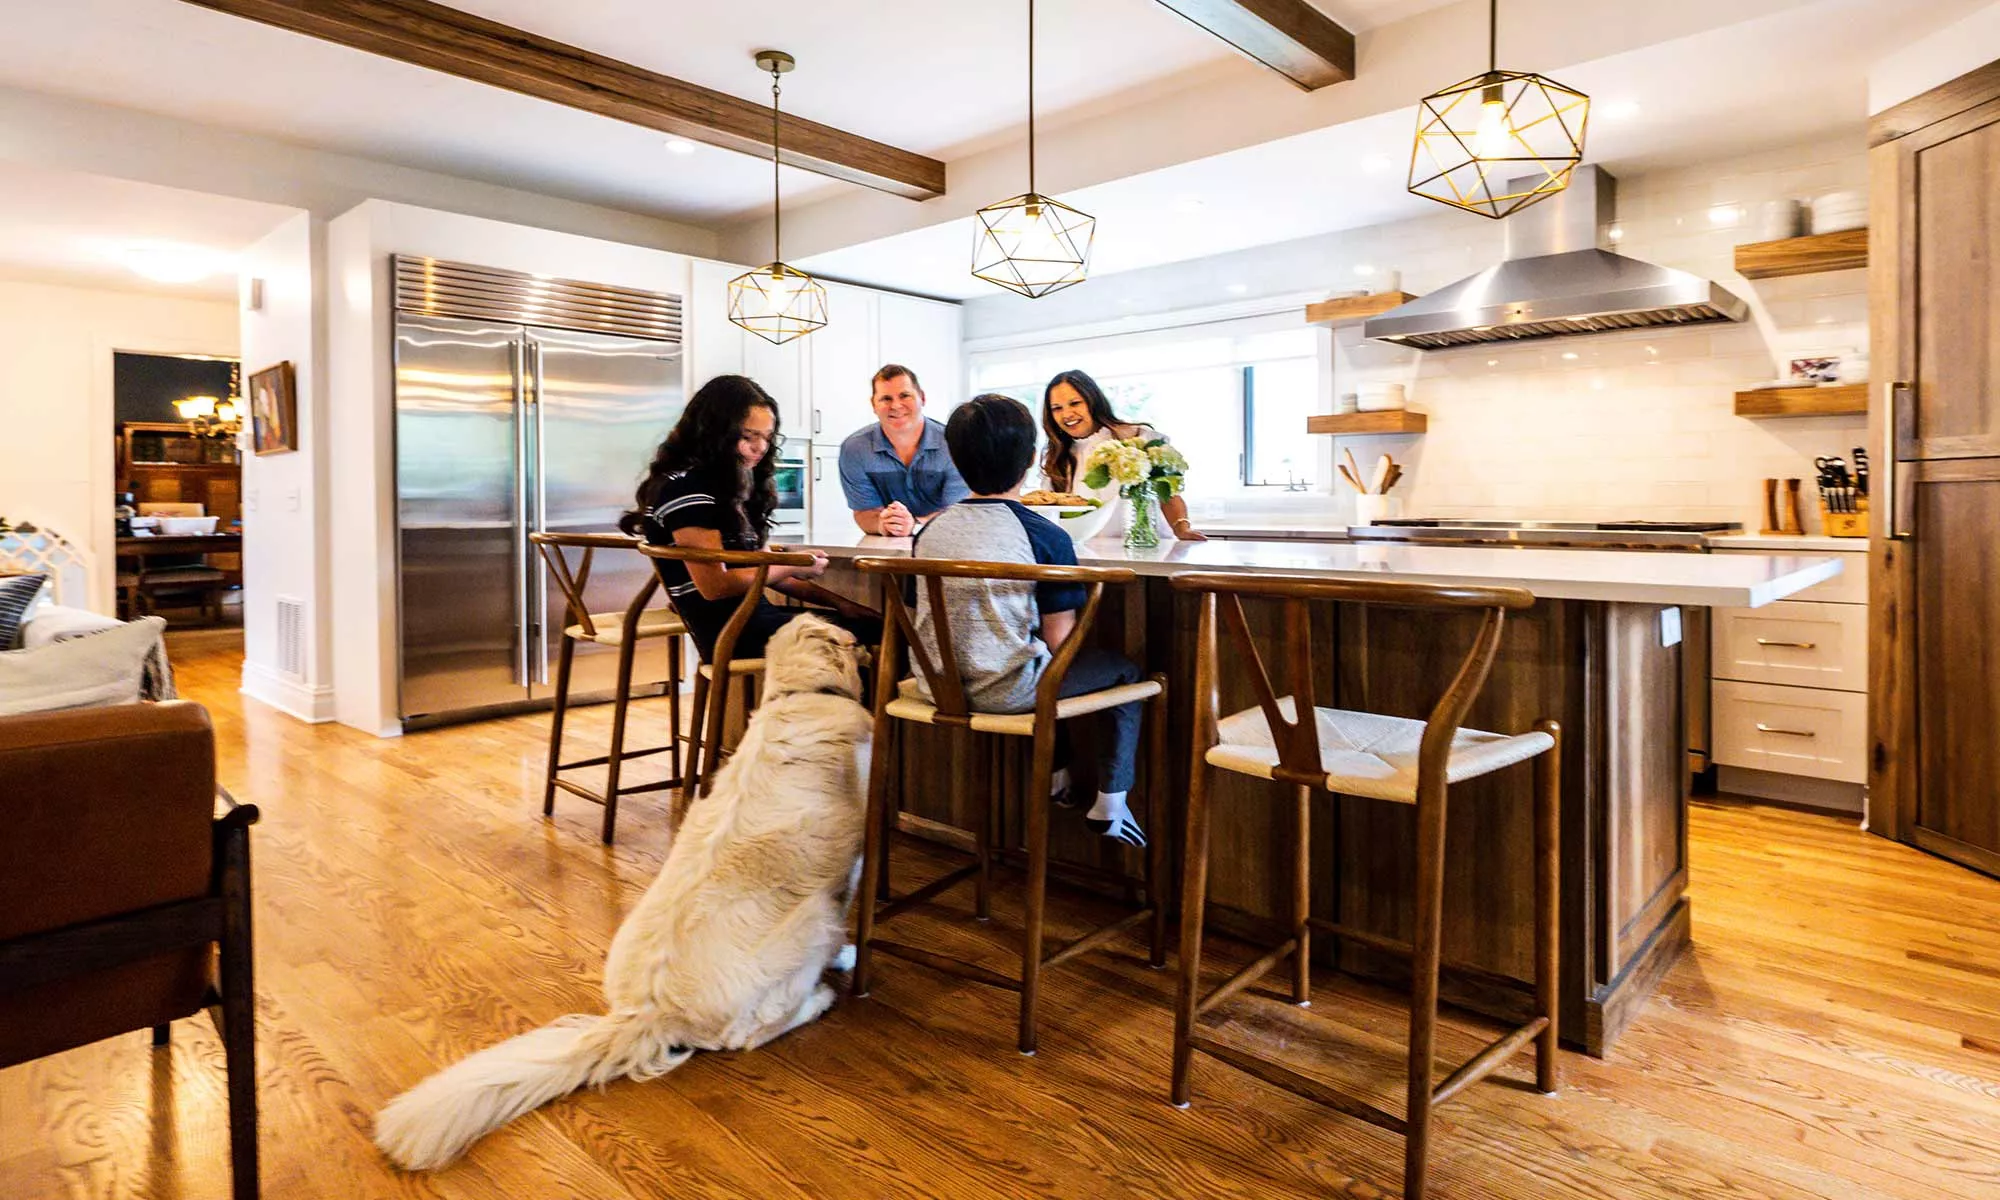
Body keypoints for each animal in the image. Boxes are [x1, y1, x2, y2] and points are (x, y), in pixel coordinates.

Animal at [376, 620, 876, 1168]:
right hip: (812, 922)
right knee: (751, 1034)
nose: (867, 641)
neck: (800, 695)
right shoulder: (854, 855)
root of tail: (649, 1012)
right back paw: (820, 997)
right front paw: (851, 958)